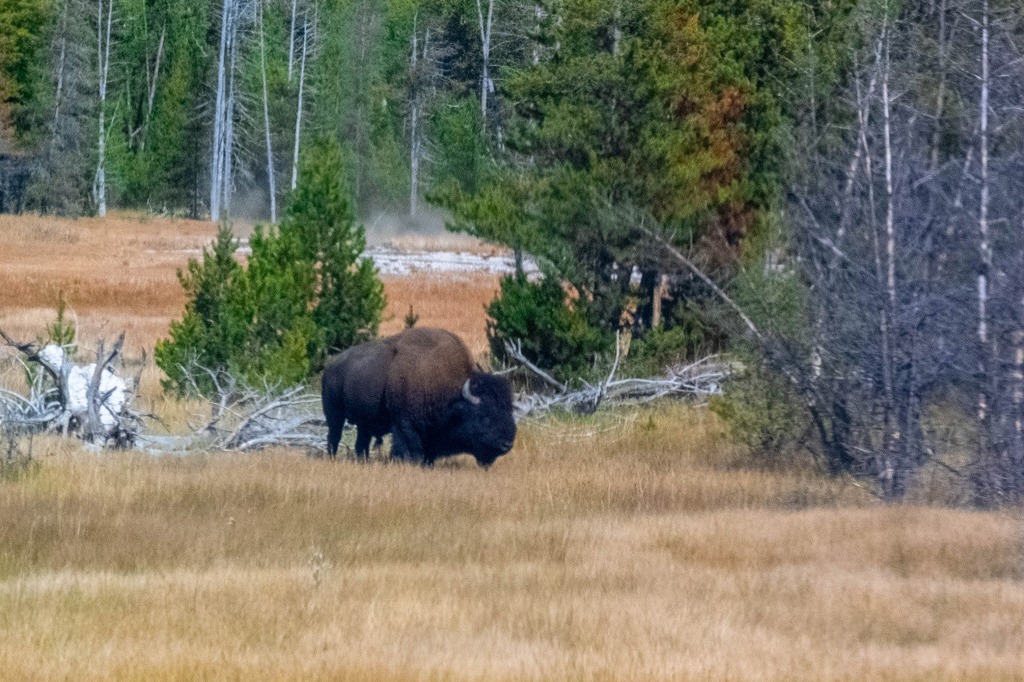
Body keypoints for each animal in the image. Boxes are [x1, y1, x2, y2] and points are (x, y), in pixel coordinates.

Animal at [321, 327, 516, 464]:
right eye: (484, 416)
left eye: (509, 411)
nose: (507, 444)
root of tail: (330, 366)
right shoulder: (406, 424)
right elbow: (412, 449)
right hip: (334, 414)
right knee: (334, 436)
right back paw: (332, 458)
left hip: (364, 423)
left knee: (361, 443)